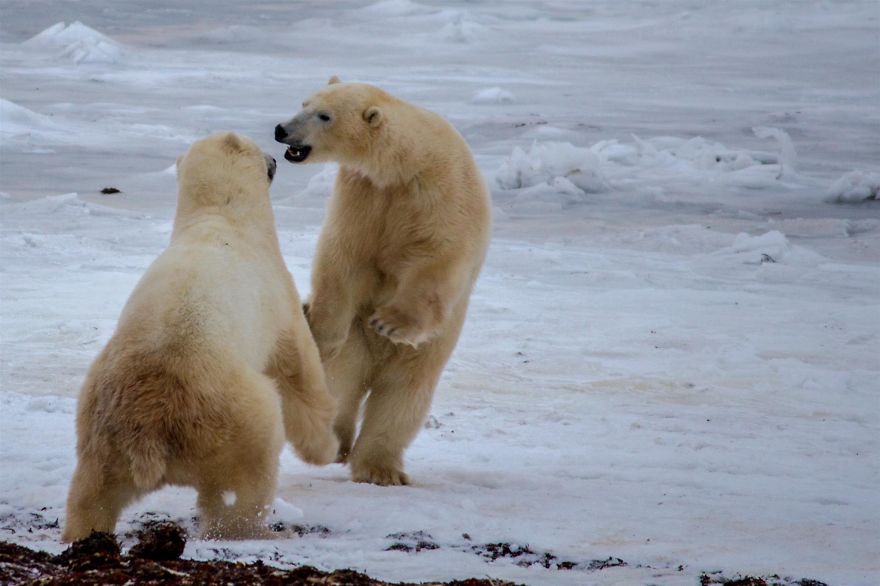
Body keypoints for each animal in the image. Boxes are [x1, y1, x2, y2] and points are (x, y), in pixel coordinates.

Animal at [61, 132, 339, 542]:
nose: (275, 159)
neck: (221, 218)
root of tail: (152, 432)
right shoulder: (278, 300)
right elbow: (300, 374)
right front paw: (328, 449)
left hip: (100, 423)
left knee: (92, 493)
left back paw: (85, 534)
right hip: (232, 417)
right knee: (245, 478)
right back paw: (261, 529)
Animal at [274, 78, 491, 485]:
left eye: (324, 116)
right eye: (303, 103)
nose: (281, 129)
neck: (405, 166)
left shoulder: (440, 195)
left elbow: (438, 259)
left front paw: (391, 323)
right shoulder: (363, 191)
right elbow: (344, 255)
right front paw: (318, 325)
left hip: (426, 353)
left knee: (402, 396)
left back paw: (380, 469)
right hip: (355, 339)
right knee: (342, 382)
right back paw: (336, 442)